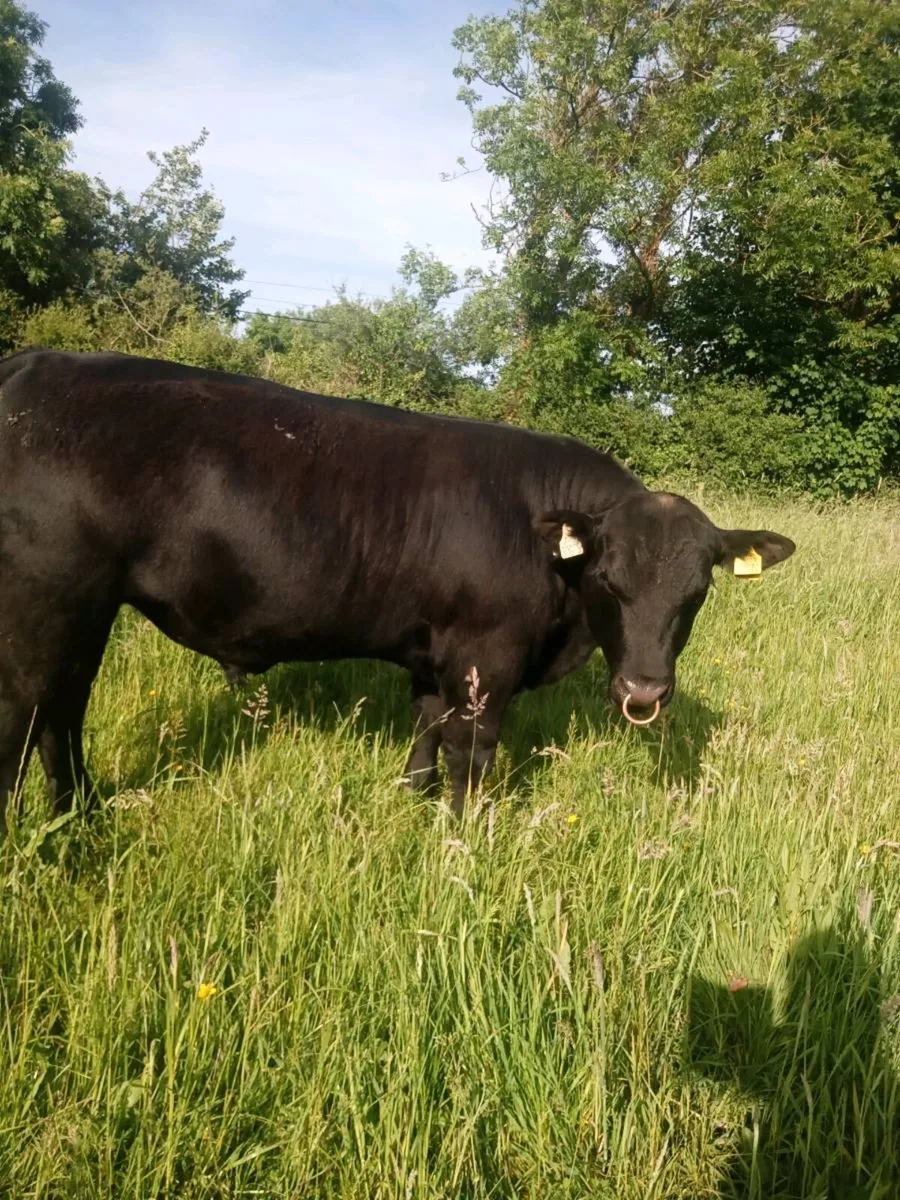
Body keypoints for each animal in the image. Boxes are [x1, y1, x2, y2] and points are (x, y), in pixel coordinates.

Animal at [0, 349, 795, 829]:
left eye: (696, 590)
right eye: (608, 578)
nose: (645, 690)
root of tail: (36, 364)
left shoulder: (432, 649)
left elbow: (425, 729)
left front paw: (410, 801)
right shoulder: (484, 659)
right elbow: (470, 752)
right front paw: (463, 836)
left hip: (86, 610)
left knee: (64, 711)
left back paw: (79, 814)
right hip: (45, 601)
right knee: (28, 712)